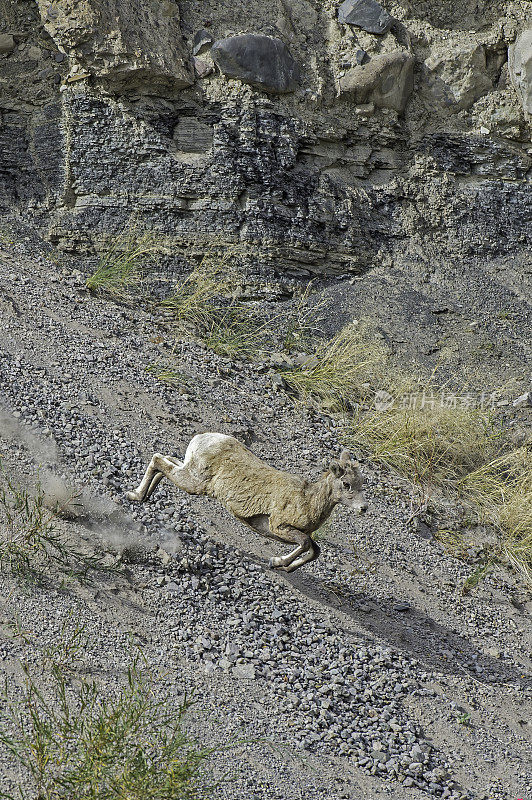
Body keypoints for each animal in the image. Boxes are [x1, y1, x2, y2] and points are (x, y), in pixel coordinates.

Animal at [127, 434, 368, 572]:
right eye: (346, 484)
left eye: (362, 482)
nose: (363, 508)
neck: (308, 500)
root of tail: (203, 438)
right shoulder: (278, 526)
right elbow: (306, 544)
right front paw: (276, 562)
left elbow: (315, 551)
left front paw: (284, 568)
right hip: (194, 483)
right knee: (158, 460)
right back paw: (134, 496)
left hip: (189, 470)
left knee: (167, 463)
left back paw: (144, 496)